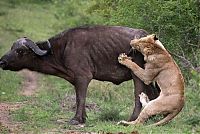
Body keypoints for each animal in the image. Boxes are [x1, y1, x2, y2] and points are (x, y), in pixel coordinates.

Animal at [0, 25, 159, 125]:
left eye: (20, 51)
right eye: (11, 48)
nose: (2, 61)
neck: (63, 49)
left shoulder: (82, 77)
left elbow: (80, 98)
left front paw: (76, 119)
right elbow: (79, 98)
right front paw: (83, 117)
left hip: (137, 75)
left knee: (138, 94)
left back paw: (133, 118)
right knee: (154, 93)